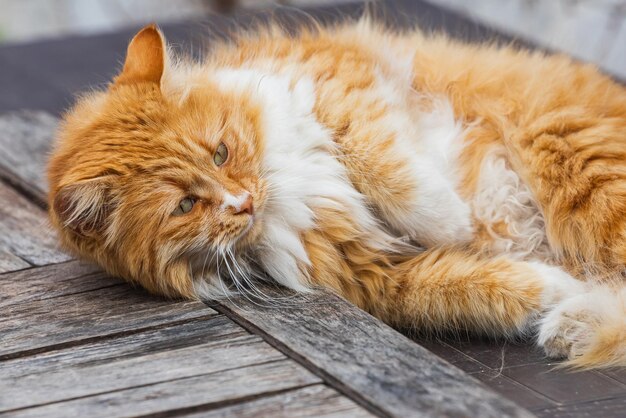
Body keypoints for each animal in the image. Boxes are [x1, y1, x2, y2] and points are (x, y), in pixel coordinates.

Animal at [45, 22, 624, 370]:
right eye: (186, 205)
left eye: (221, 153)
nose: (244, 202)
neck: (285, 195)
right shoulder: (374, 277)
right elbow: (472, 288)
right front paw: (550, 283)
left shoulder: (337, 81)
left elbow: (390, 173)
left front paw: (456, 220)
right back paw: (572, 322)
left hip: (573, 159)